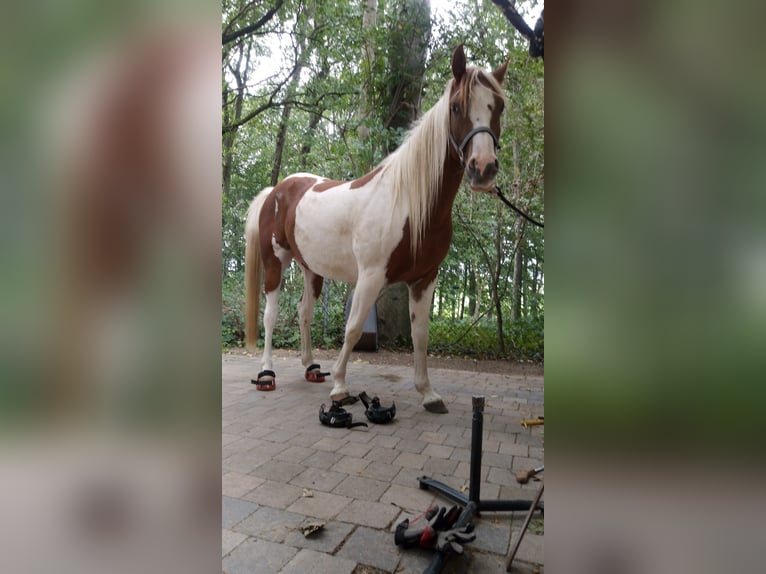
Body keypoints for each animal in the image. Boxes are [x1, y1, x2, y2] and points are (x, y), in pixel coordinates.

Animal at [246, 45, 510, 414]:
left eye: (498, 106)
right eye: (456, 106)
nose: (483, 168)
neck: (411, 203)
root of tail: (277, 190)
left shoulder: (425, 279)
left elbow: (420, 336)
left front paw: (428, 392)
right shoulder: (371, 277)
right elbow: (354, 329)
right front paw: (341, 386)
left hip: (312, 268)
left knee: (304, 313)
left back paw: (311, 367)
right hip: (276, 261)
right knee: (270, 315)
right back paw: (267, 373)